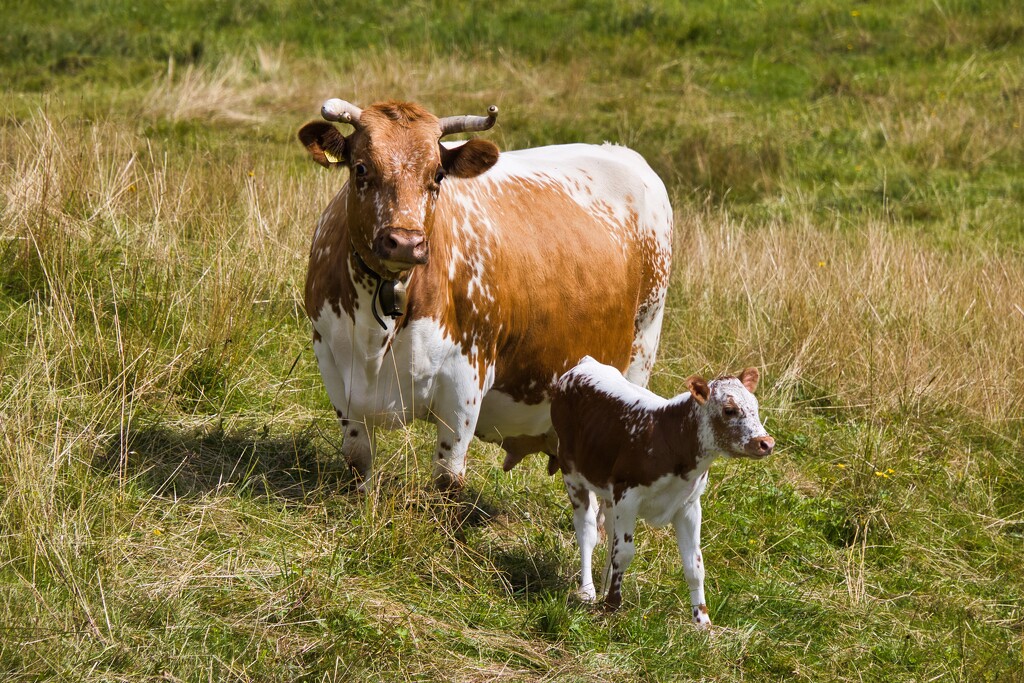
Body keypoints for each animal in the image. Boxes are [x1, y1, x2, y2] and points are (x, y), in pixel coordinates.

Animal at [299, 97, 675, 491]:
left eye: (438, 175)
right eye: (360, 168)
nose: (405, 241)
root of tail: (622, 152)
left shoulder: (466, 376)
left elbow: (448, 477)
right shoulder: (334, 367)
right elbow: (358, 460)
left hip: (641, 351)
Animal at [552, 356, 774, 626]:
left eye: (755, 405)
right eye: (729, 410)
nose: (766, 443)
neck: (671, 437)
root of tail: (585, 363)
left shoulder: (688, 505)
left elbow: (694, 565)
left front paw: (702, 623)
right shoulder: (627, 495)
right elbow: (624, 553)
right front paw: (612, 607)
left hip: (606, 486)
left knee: (610, 532)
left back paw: (603, 586)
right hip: (571, 471)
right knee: (587, 530)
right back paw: (588, 590)